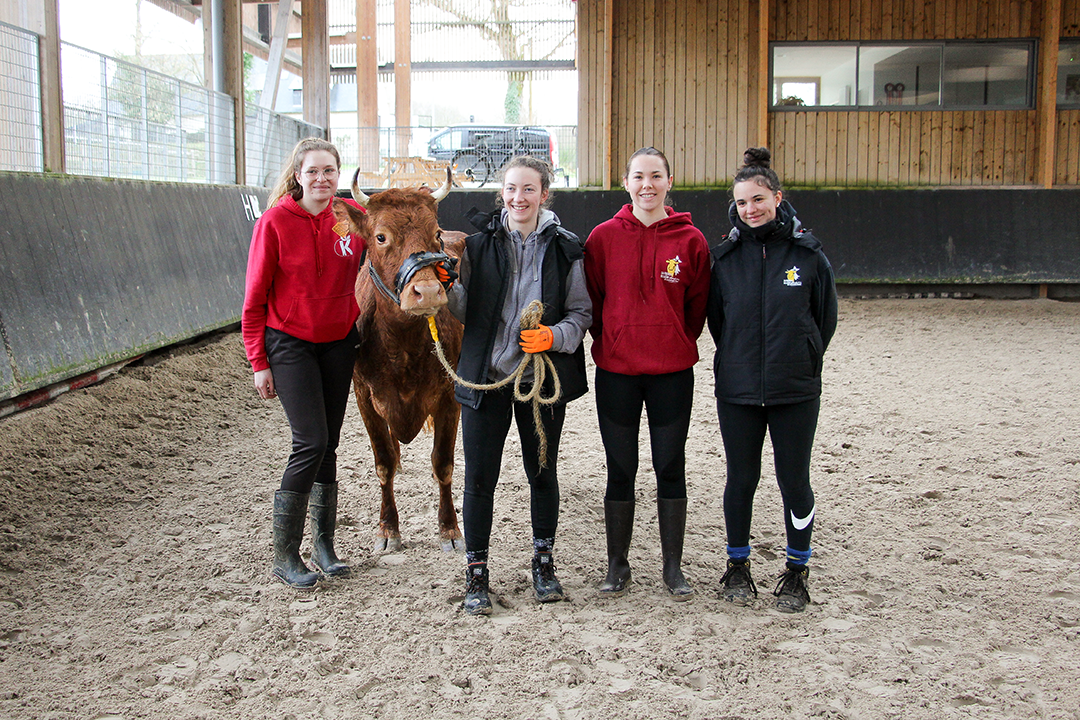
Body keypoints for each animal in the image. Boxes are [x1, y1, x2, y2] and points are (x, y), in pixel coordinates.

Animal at [328, 169, 464, 552]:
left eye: (435, 233)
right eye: (381, 236)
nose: (428, 292)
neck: (402, 347)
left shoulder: (449, 396)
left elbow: (443, 463)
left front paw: (449, 528)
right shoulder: (363, 396)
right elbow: (383, 463)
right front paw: (388, 528)